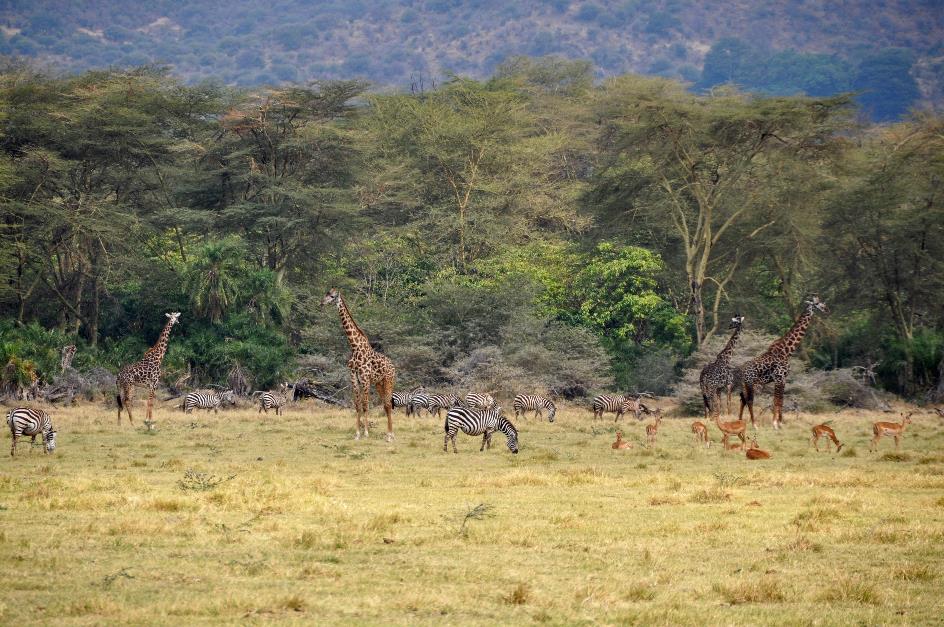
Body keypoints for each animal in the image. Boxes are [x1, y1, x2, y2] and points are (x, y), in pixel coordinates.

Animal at [322, 290, 396, 442]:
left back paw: (390, 435)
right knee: (385, 405)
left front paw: (366, 433)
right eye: (326, 294)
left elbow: (365, 405)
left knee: (388, 404)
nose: (321, 303)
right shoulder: (354, 379)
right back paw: (389, 434)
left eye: (332, 296)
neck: (355, 347)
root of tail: (393, 366)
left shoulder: (365, 379)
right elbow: (357, 406)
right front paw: (357, 434)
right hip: (379, 383)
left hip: (389, 381)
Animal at [736, 296, 824, 430]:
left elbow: (779, 400)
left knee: (743, 400)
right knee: (750, 400)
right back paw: (754, 424)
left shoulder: (783, 379)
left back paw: (740, 421)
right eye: (817, 303)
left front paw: (780, 423)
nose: (826, 309)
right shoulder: (779, 377)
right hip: (752, 384)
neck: (787, 350)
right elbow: (777, 400)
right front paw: (776, 424)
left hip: (746, 385)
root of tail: (740, 371)